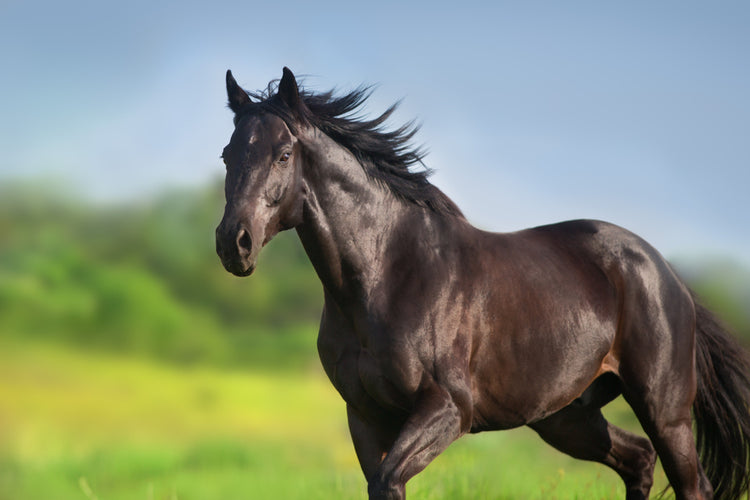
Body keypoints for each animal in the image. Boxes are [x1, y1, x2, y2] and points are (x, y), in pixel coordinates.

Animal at [215, 67, 750, 500]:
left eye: (284, 154)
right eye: (226, 155)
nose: (233, 243)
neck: (386, 275)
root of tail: (666, 274)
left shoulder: (450, 408)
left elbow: (389, 481)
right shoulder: (364, 415)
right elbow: (378, 482)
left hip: (664, 409)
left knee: (690, 483)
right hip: (567, 416)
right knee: (638, 461)